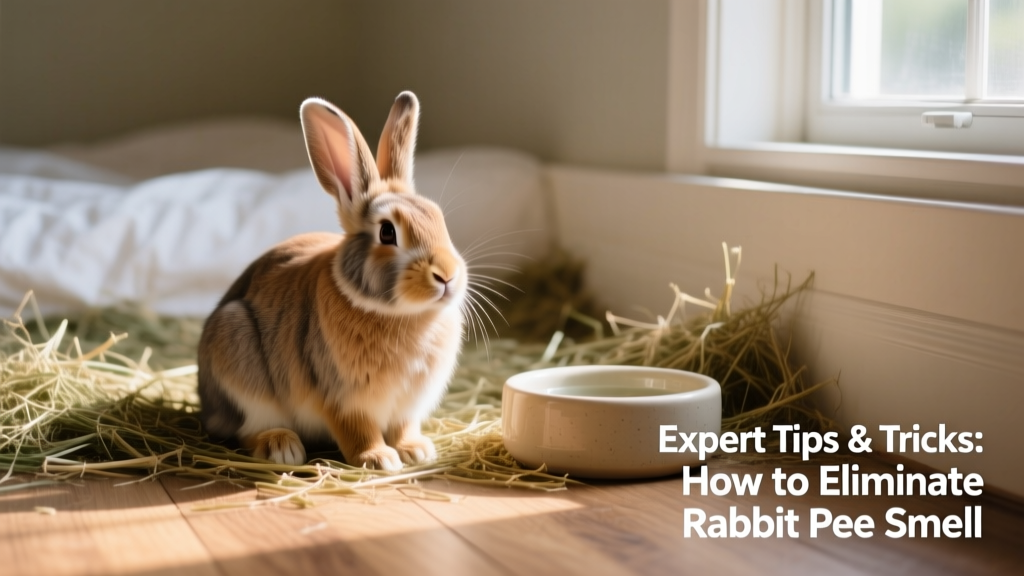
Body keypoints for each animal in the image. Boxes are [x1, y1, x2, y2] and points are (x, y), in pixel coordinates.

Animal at [197, 91, 466, 470]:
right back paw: (282, 447)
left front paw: (416, 451)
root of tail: (207, 405)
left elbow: (403, 428)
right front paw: (379, 459)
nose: (447, 275)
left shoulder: (406, 406)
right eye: (387, 232)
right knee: (248, 429)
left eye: (439, 220)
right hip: (236, 352)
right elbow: (358, 430)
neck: (402, 315)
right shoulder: (342, 398)